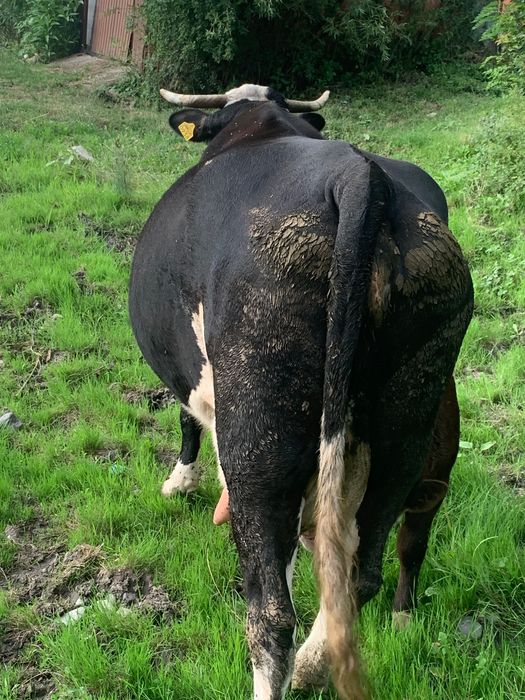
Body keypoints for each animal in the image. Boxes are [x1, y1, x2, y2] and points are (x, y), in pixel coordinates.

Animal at [129, 83, 473, 700]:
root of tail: (359, 178)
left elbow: (186, 416)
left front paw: (179, 481)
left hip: (259, 434)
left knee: (270, 611)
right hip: (407, 426)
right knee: (363, 572)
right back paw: (318, 661)